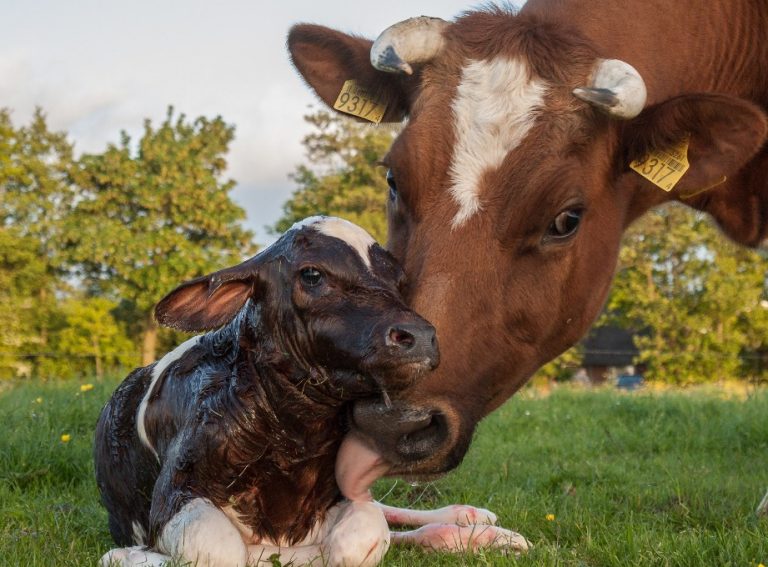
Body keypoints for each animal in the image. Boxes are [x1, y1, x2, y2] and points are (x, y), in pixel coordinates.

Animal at [93, 215, 528, 564]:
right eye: (312, 274)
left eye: (398, 281)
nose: (420, 336)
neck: (294, 435)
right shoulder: (175, 492)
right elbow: (219, 551)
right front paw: (127, 555)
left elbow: (362, 537)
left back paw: (474, 522)